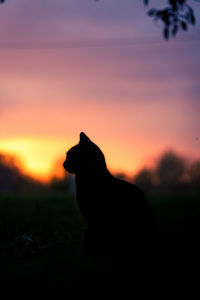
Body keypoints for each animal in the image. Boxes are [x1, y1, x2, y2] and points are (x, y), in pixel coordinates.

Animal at [63, 132, 159, 266]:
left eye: (71, 155)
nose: (63, 164)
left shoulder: (95, 220)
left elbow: (91, 240)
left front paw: (90, 257)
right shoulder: (91, 220)